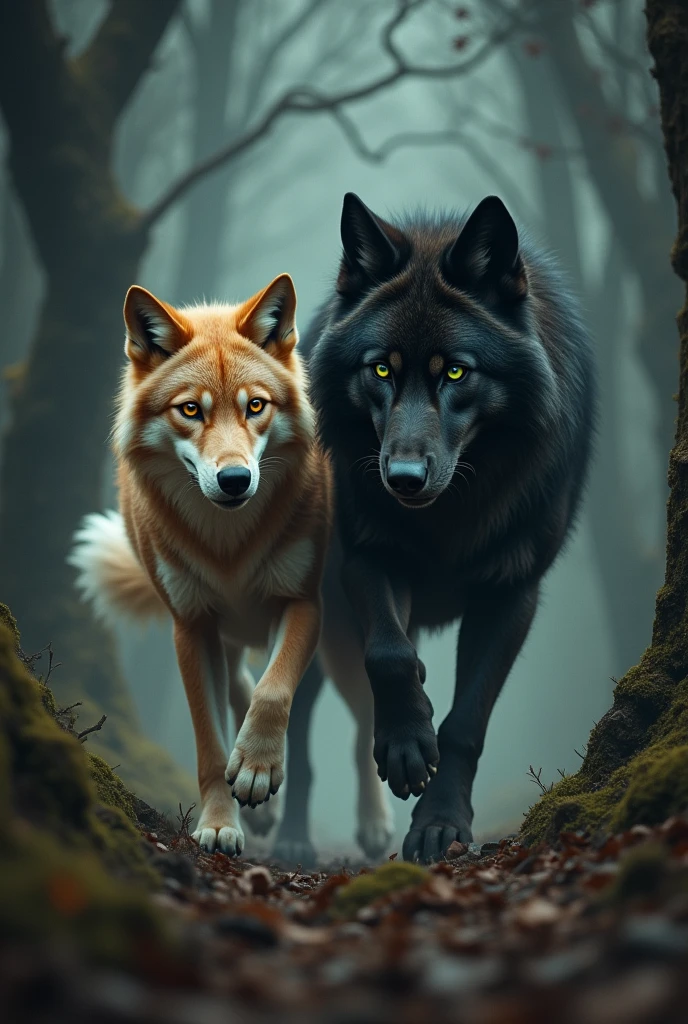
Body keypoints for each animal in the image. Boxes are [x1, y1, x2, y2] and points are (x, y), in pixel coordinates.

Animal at [69, 274, 331, 857]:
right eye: (191, 411)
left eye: (255, 406)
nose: (235, 480)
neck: (228, 544)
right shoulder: (191, 626)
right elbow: (211, 745)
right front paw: (219, 824)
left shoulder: (303, 601)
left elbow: (274, 689)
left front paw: (256, 768)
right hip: (221, 632)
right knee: (237, 681)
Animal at [273, 193, 595, 865]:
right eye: (380, 370)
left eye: (455, 373)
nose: (402, 478)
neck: (453, 512)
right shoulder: (370, 557)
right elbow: (391, 656)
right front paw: (406, 744)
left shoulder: (512, 591)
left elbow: (466, 721)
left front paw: (440, 823)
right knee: (301, 719)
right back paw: (290, 837)